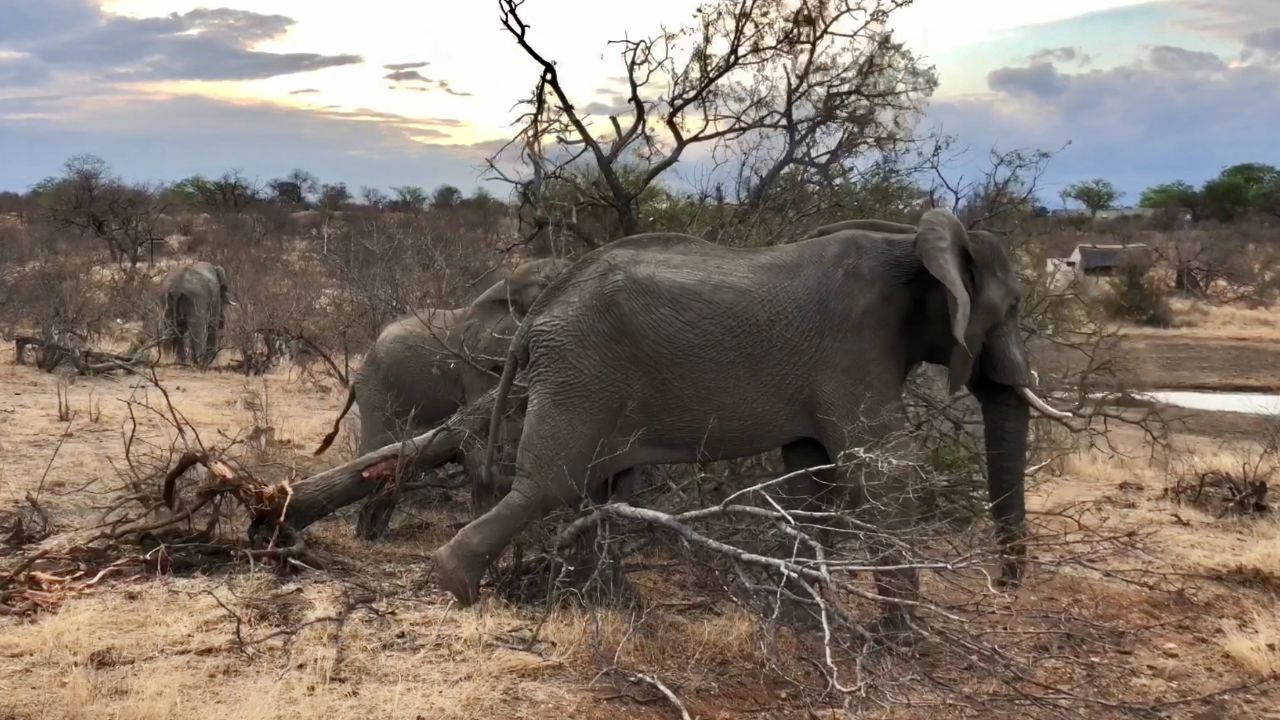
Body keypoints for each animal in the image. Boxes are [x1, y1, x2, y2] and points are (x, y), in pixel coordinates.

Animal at [312, 254, 573, 535]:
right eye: (547, 285)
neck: (505, 285)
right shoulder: (475, 361)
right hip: (376, 392)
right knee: (376, 448)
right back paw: (367, 532)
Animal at [435, 206, 1075, 622]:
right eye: (1013, 306)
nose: (1005, 587)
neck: (912, 243)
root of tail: (533, 317)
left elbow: (810, 479)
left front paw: (799, 622)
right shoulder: (855, 350)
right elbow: (882, 470)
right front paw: (902, 641)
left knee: (604, 489)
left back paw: (607, 604)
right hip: (580, 370)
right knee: (550, 484)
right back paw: (456, 585)